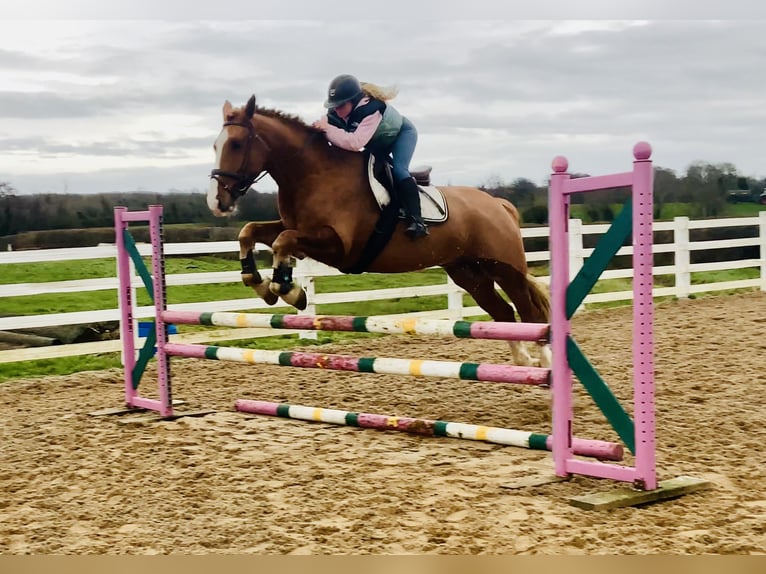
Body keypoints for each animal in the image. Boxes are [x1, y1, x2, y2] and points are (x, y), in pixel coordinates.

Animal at [207, 95, 551, 367]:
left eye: (236, 144)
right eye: (215, 145)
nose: (217, 201)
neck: (313, 173)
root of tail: (499, 205)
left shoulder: (339, 246)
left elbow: (282, 241)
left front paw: (288, 290)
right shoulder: (299, 230)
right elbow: (250, 232)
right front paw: (261, 283)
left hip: (506, 269)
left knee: (530, 313)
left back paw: (544, 366)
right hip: (468, 273)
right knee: (503, 313)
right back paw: (522, 362)